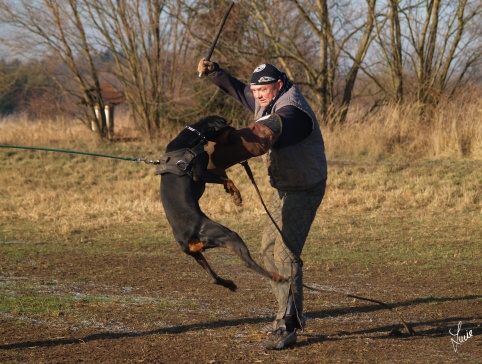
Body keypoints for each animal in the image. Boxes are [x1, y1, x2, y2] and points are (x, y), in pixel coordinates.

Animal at [156, 115, 286, 292]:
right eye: (229, 129)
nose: (236, 133)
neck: (193, 137)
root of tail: (191, 237)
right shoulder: (200, 173)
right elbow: (227, 179)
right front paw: (236, 195)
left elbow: (224, 178)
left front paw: (231, 192)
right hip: (229, 235)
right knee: (248, 263)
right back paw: (277, 277)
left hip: (195, 253)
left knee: (214, 278)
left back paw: (229, 284)